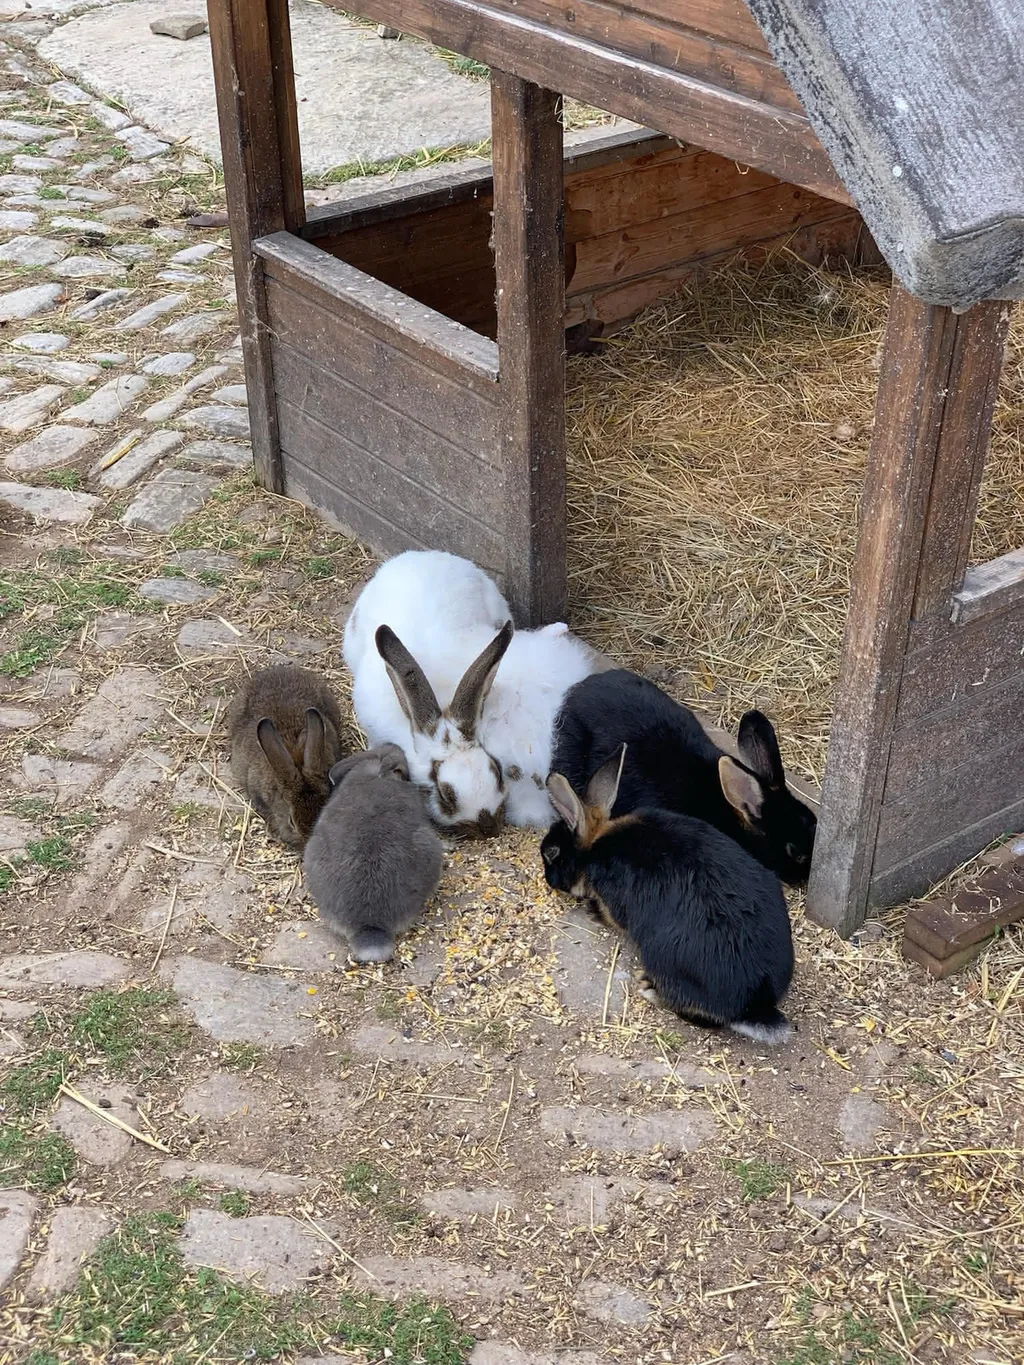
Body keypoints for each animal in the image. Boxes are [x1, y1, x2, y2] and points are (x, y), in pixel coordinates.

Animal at [542, 745, 795, 1045]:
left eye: (552, 853)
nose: (548, 879)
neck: (595, 842)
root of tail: (753, 1005)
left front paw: (594, 912)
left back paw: (649, 989)